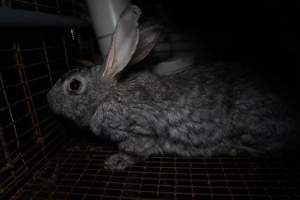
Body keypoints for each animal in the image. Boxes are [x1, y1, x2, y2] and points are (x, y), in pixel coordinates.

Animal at [47, 5, 296, 170]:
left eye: (74, 85)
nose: (48, 99)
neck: (107, 95)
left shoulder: (139, 131)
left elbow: (137, 150)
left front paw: (115, 162)